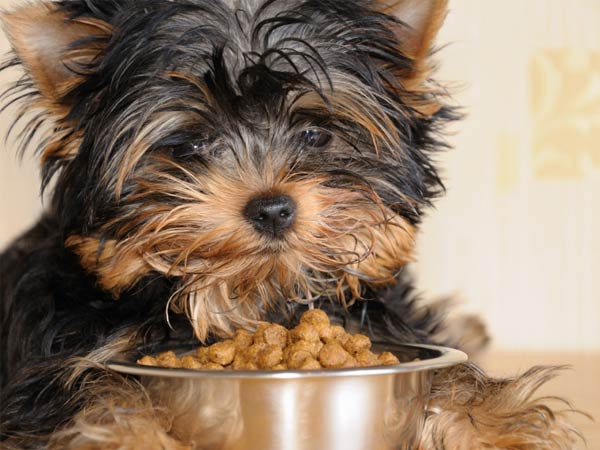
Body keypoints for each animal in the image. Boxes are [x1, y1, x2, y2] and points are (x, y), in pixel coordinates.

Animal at [0, 0, 581, 448]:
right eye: (189, 147)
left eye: (315, 135)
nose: (272, 206)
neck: (254, 295)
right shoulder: (55, 359)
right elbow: (94, 391)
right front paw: (132, 437)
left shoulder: (382, 326)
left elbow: (446, 370)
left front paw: (499, 426)